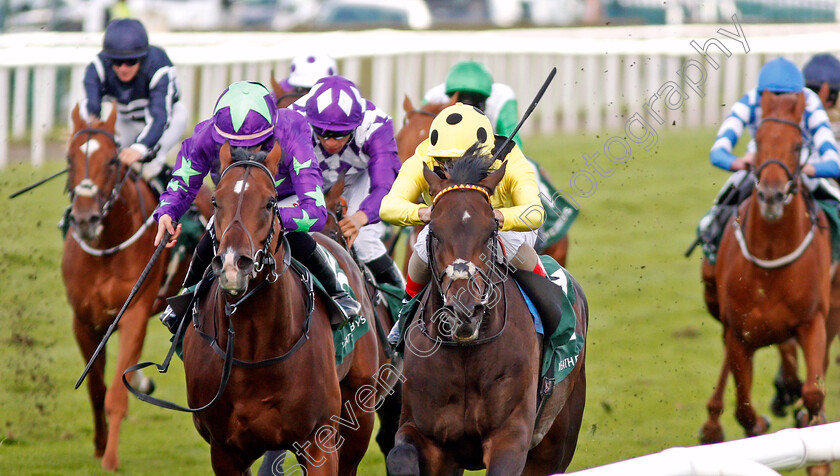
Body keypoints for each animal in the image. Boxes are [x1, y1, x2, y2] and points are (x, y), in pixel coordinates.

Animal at [62, 102, 207, 470]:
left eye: (113, 161)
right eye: (69, 158)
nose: (85, 220)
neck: (106, 249)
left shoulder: (134, 314)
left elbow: (115, 393)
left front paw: (110, 458)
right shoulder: (83, 321)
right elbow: (96, 388)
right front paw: (99, 445)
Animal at [185, 142, 382, 476]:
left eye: (270, 202)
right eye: (215, 201)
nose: (233, 265)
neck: (255, 350)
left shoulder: (319, 442)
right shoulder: (224, 451)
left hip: (359, 412)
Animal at [386, 151, 588, 474]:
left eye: (491, 230)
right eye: (435, 233)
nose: (464, 310)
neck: (465, 354)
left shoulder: (511, 435)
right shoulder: (427, 435)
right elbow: (400, 455)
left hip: (556, 441)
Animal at [700, 91, 836, 474]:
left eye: (797, 145)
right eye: (758, 140)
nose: (772, 197)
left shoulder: (813, 321)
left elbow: (814, 391)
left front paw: (817, 452)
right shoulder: (739, 332)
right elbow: (744, 409)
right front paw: (757, 423)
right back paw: (712, 423)